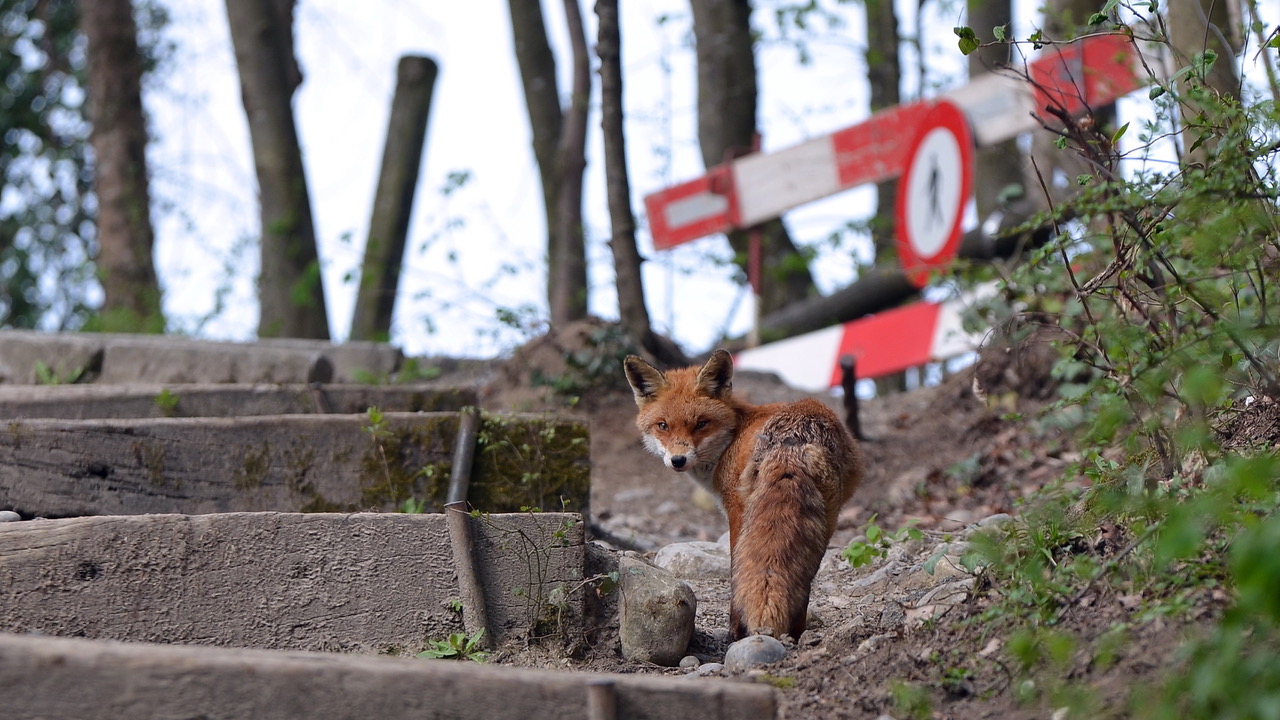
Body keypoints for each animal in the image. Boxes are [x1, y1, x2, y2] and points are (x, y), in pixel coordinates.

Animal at [624, 348, 865, 638]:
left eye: (701, 424)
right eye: (663, 426)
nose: (678, 460)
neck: (733, 436)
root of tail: (795, 437)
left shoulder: (733, 509)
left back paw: (738, 634)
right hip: (826, 520)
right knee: (804, 579)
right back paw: (795, 633)